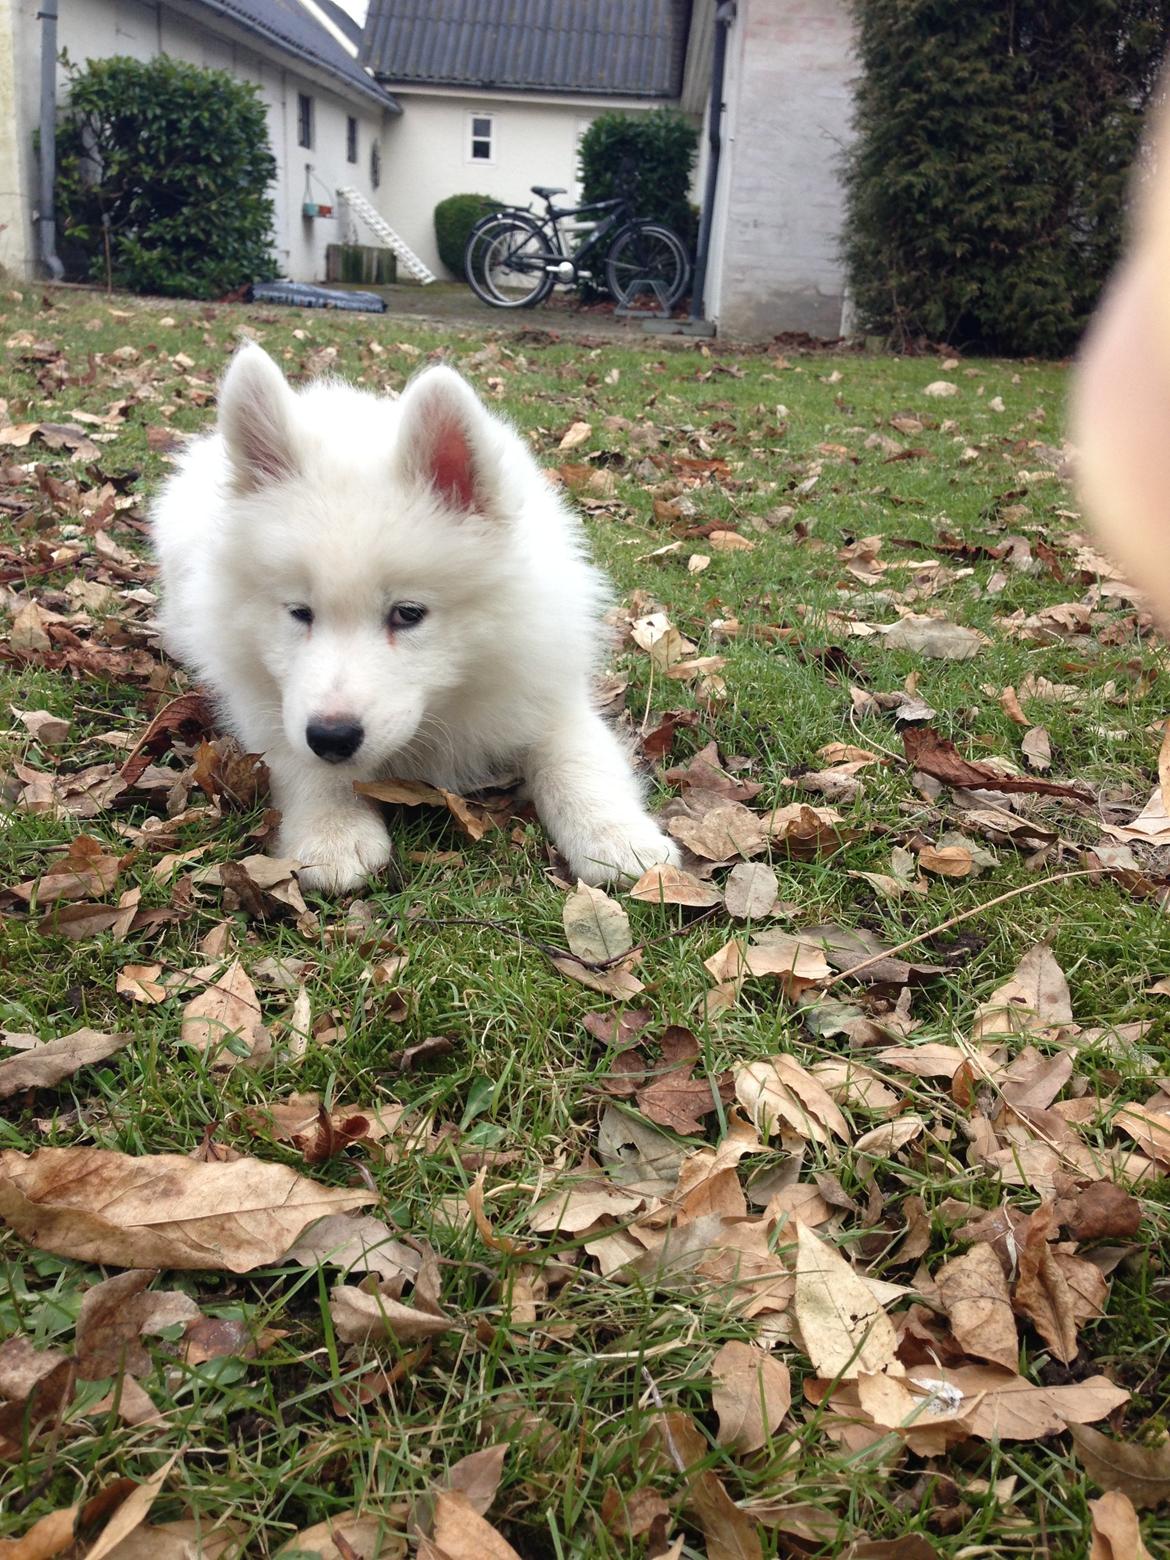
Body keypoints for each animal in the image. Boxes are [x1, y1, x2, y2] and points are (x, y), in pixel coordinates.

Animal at [151, 347, 683, 898]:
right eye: (300, 612)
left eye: (407, 614)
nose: (332, 738)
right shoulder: (266, 700)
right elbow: (297, 757)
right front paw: (333, 830)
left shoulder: (544, 690)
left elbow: (578, 760)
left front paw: (619, 838)